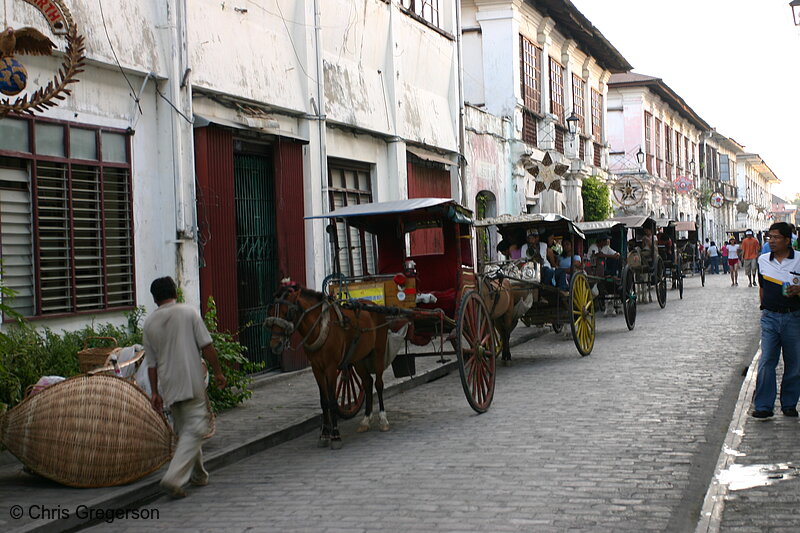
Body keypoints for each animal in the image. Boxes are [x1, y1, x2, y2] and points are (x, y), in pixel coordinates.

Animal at [266, 282, 390, 448]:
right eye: (271, 311)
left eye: (288, 313)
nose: (275, 345)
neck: (319, 326)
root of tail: (374, 305)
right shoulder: (317, 369)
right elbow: (324, 401)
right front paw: (324, 434)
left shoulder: (330, 368)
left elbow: (332, 401)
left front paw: (335, 435)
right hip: (359, 358)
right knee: (367, 383)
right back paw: (365, 420)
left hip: (378, 351)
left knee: (378, 384)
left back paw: (383, 419)